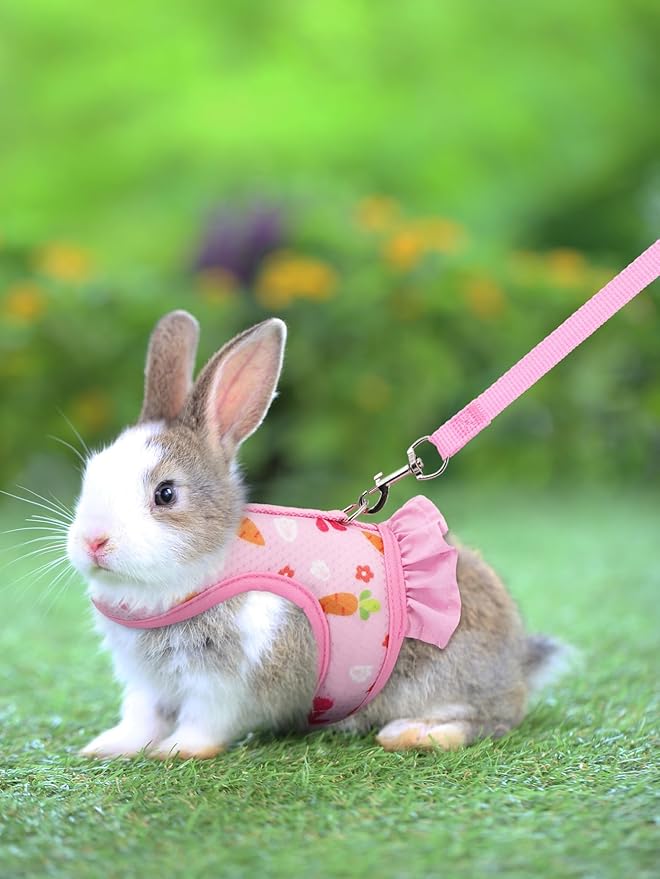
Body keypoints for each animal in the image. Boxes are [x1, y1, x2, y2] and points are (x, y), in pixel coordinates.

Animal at [66, 310, 569, 759]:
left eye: (166, 493)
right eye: (89, 475)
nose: (93, 542)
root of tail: (517, 660)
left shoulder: (227, 683)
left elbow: (203, 721)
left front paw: (176, 751)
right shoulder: (147, 684)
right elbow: (141, 717)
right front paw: (108, 747)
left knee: (491, 721)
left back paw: (412, 733)